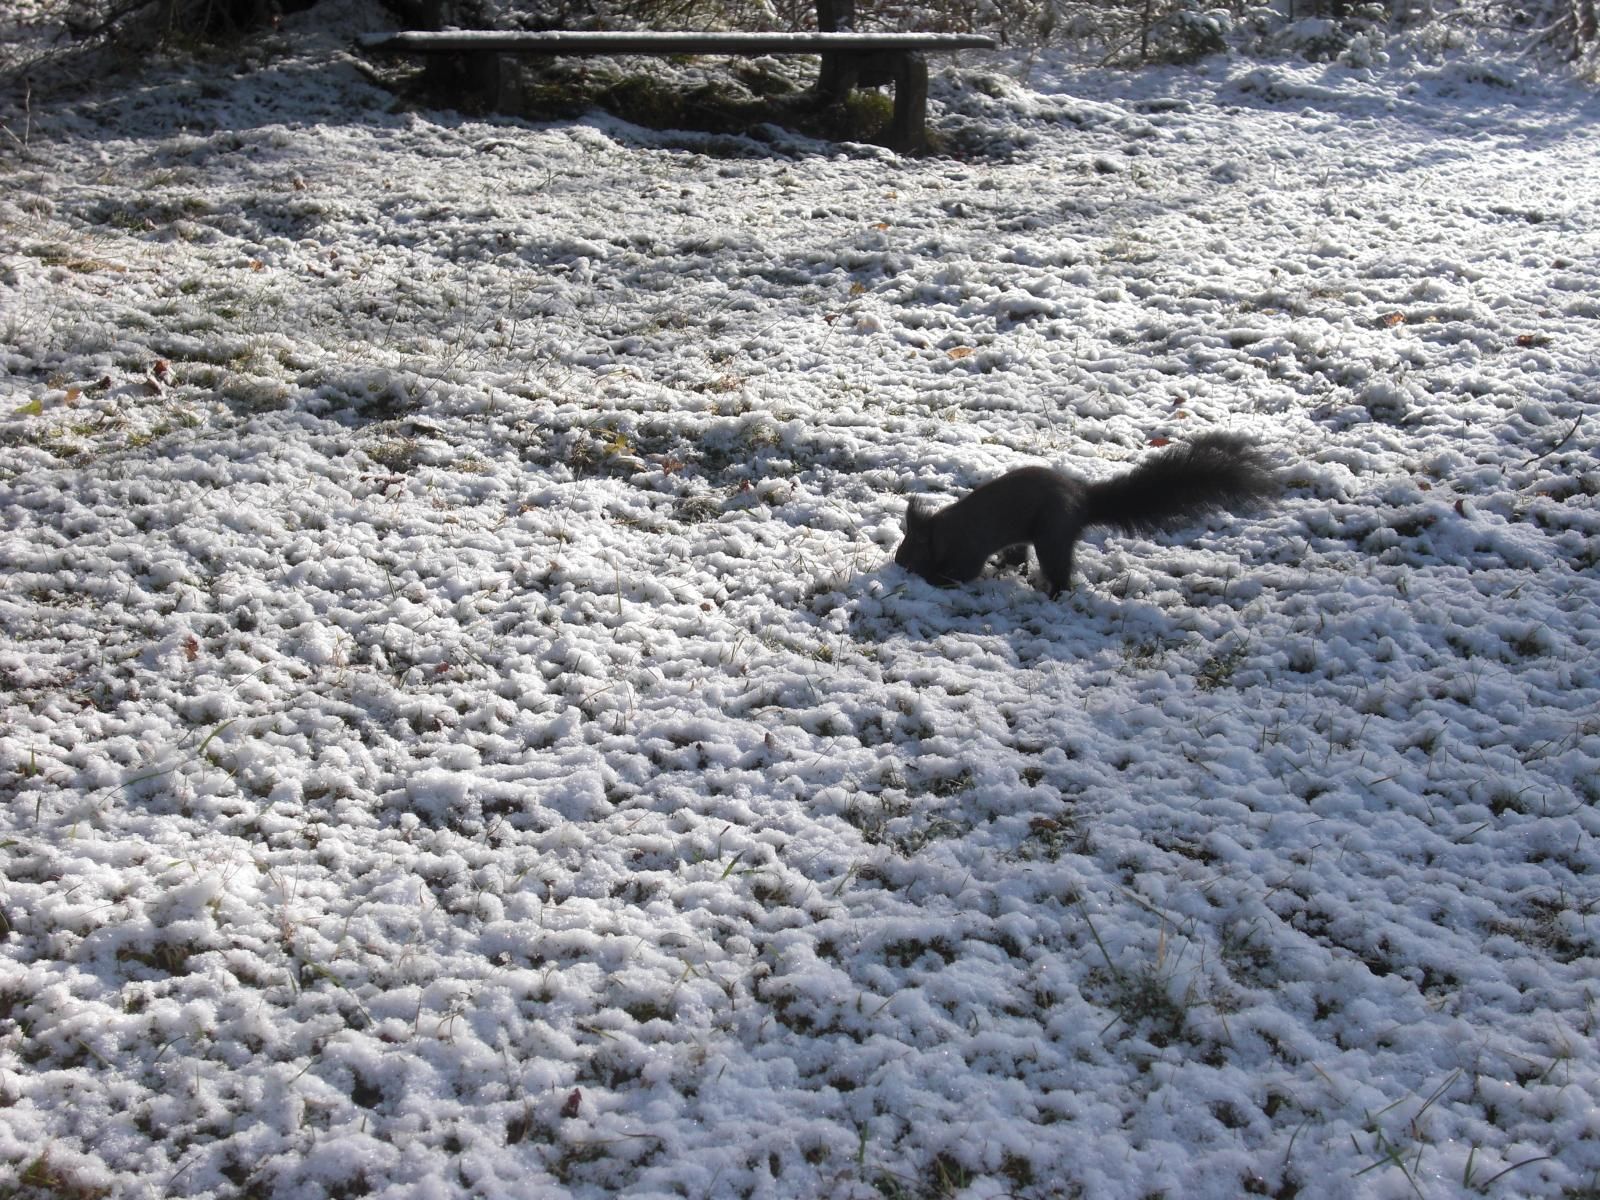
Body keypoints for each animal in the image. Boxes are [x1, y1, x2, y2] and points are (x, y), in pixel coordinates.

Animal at [893, 432, 1282, 597]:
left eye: (910, 555)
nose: (898, 567)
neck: (943, 531)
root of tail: (1081, 501)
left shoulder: (969, 549)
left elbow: (964, 573)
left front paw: (938, 581)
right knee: (1019, 553)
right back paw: (1010, 566)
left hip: (1052, 534)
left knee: (1059, 571)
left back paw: (1054, 593)